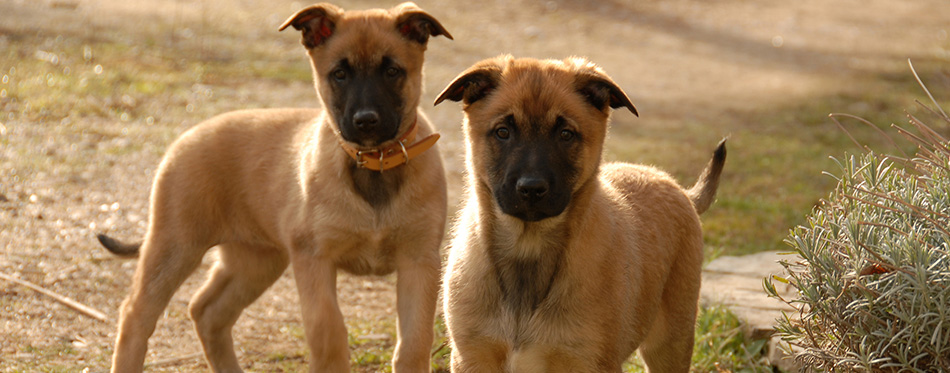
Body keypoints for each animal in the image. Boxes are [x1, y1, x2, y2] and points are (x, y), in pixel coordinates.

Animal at [96, 2, 454, 370]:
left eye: (393, 71)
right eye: (339, 74)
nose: (366, 121)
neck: (374, 165)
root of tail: (186, 138)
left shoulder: (419, 262)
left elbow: (414, 342)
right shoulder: (313, 259)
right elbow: (328, 333)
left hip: (255, 261)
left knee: (207, 311)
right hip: (175, 246)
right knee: (136, 314)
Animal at [436, 56, 724, 372]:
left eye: (565, 134)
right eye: (503, 132)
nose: (531, 188)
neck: (528, 251)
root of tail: (678, 188)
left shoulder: (587, 360)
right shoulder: (472, 356)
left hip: (672, 341)